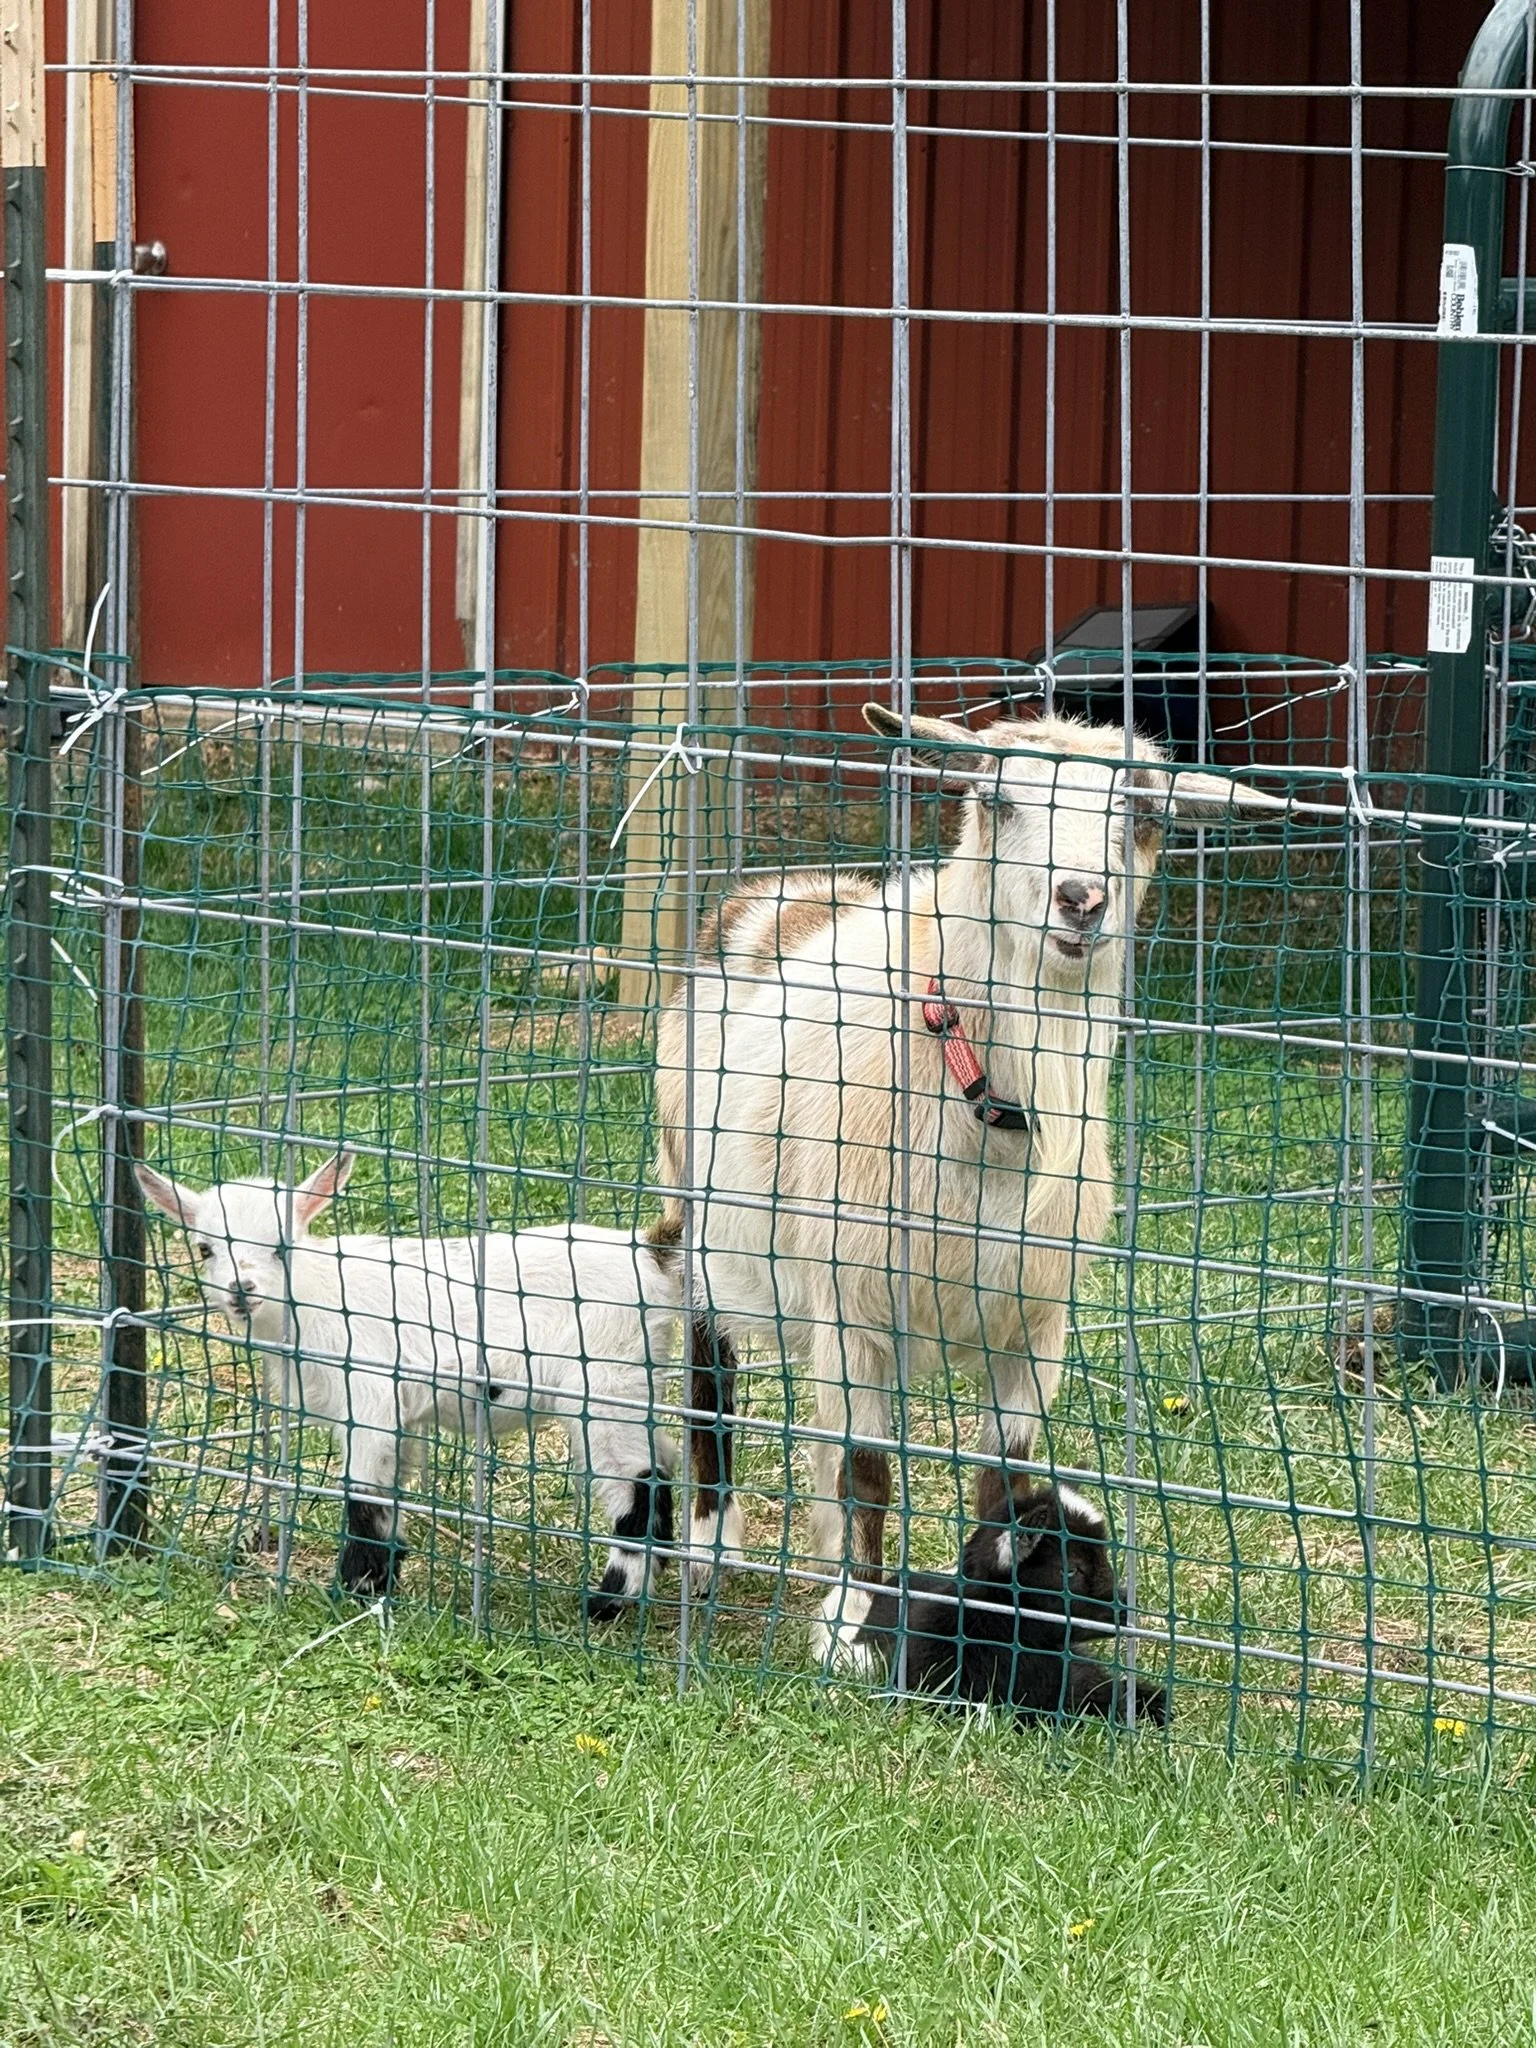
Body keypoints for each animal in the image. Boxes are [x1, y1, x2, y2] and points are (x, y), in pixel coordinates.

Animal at [136, 1152, 681, 1614]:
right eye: (204, 1249)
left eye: (282, 1245)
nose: (241, 1291)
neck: (317, 1294)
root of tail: (649, 1253)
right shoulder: (395, 1411)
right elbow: (389, 1489)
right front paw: (380, 1582)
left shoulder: (369, 1391)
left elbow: (361, 1492)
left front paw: (352, 1589)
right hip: (633, 1379)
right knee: (666, 1456)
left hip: (606, 1377)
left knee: (638, 1477)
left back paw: (609, 1601)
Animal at [654, 706, 1275, 1656]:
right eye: (999, 799)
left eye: (1143, 812)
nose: (1080, 900)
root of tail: (781, 890)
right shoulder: (853, 1300)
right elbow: (864, 1469)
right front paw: (852, 1625)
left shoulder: (1034, 1319)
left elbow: (1007, 1478)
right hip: (690, 1189)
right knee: (706, 1358)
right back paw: (709, 1546)